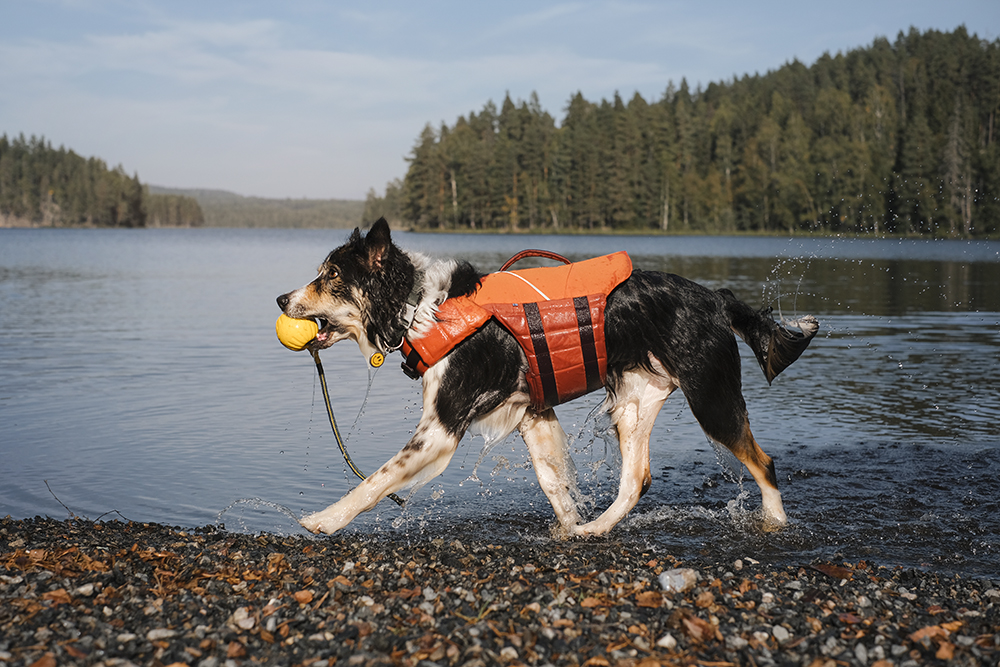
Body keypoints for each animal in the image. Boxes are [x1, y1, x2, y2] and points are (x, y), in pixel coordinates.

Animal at [278, 219, 816, 536]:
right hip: (633, 403)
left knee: (764, 463)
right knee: (635, 480)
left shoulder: (442, 428)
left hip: (711, 398)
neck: (419, 308)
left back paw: (775, 521)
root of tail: (717, 299)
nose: (282, 299)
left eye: (330, 277)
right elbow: (554, 482)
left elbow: (376, 480)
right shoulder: (532, 413)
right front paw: (569, 524)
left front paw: (325, 519)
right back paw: (594, 530)